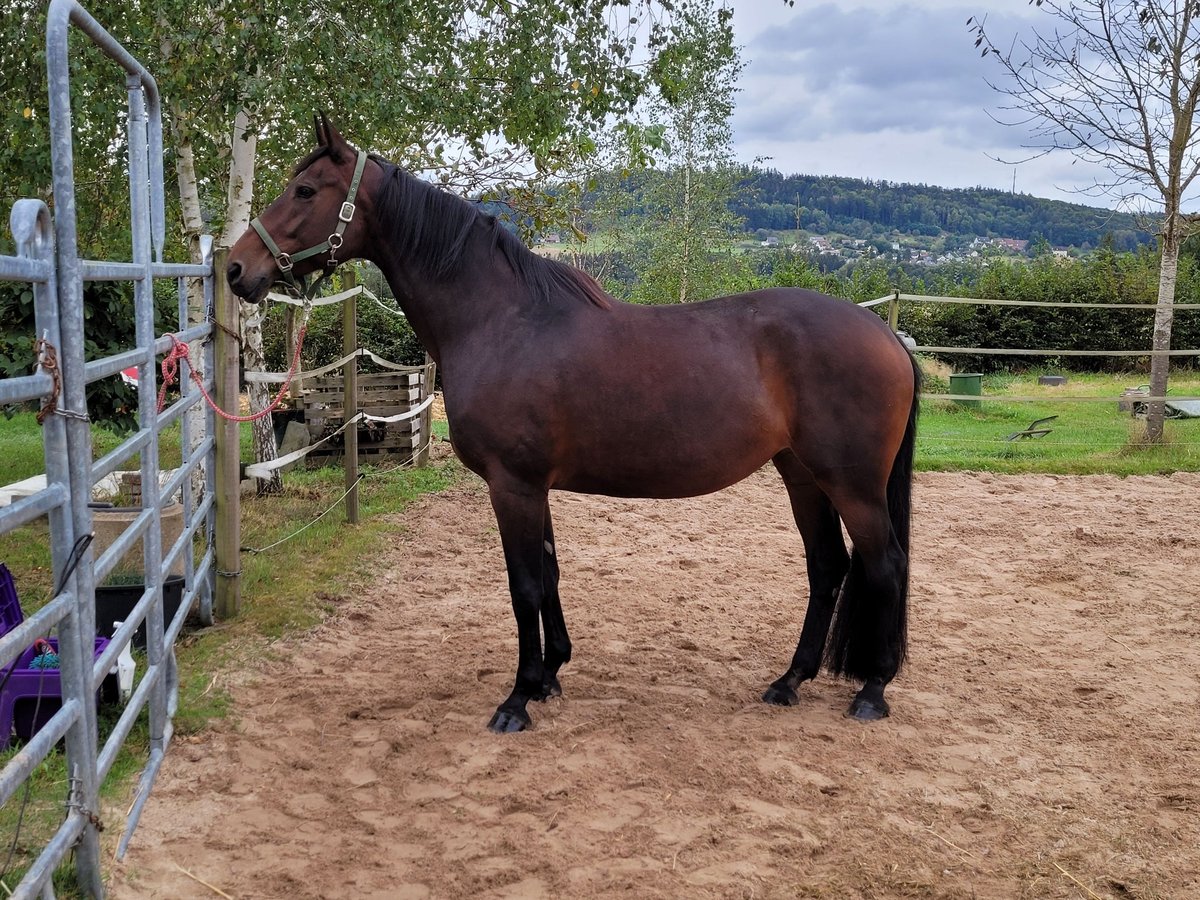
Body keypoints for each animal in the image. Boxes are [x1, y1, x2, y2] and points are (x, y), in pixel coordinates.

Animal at [226, 114, 916, 734]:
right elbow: (550, 572)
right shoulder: (533, 487)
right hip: (802, 475)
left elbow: (525, 584)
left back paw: (872, 691)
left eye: (306, 190)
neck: (501, 319)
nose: (235, 268)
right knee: (827, 567)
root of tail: (884, 332)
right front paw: (552, 673)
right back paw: (790, 680)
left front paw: (518, 697)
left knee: (884, 563)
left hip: (851, 483)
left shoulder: (513, 486)